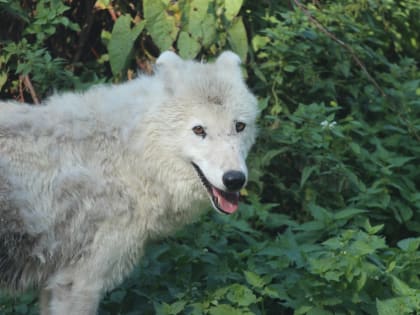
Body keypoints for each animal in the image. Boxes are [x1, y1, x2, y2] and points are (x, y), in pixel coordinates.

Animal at [0, 50, 256, 314]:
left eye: (239, 126)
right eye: (198, 130)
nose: (235, 179)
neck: (130, 153)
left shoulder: (52, 285)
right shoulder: (79, 284)